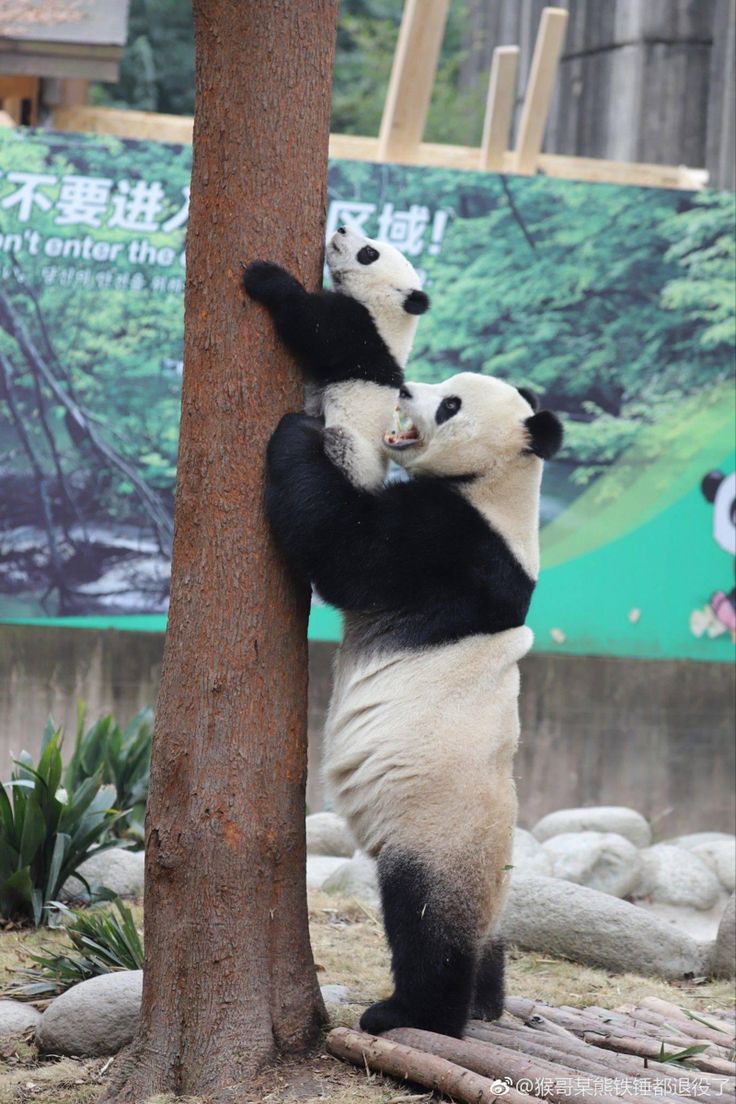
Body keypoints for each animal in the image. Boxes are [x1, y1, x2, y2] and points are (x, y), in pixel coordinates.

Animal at [242, 226, 425, 490]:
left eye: (369, 253)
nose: (341, 229)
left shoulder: (361, 336)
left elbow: (309, 326)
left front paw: (263, 275)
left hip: (354, 453)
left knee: (336, 445)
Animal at [244, 260, 560, 1042]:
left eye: (447, 402)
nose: (408, 390)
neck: (502, 484)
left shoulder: (453, 543)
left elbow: (347, 554)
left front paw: (299, 430)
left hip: (436, 825)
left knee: (425, 919)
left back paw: (413, 1013)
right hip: (492, 875)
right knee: (488, 934)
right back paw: (485, 999)